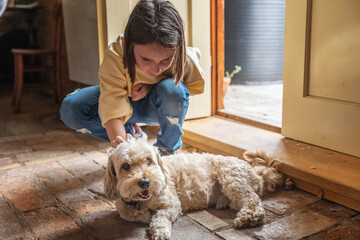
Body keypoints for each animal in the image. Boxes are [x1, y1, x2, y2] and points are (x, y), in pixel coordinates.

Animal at [104, 136, 284, 239]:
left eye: (149, 161)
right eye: (126, 166)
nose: (145, 182)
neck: (143, 200)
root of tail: (256, 173)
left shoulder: (172, 204)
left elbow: (160, 216)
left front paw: (160, 230)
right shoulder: (125, 209)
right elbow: (134, 214)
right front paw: (146, 216)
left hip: (232, 180)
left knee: (253, 201)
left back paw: (250, 217)